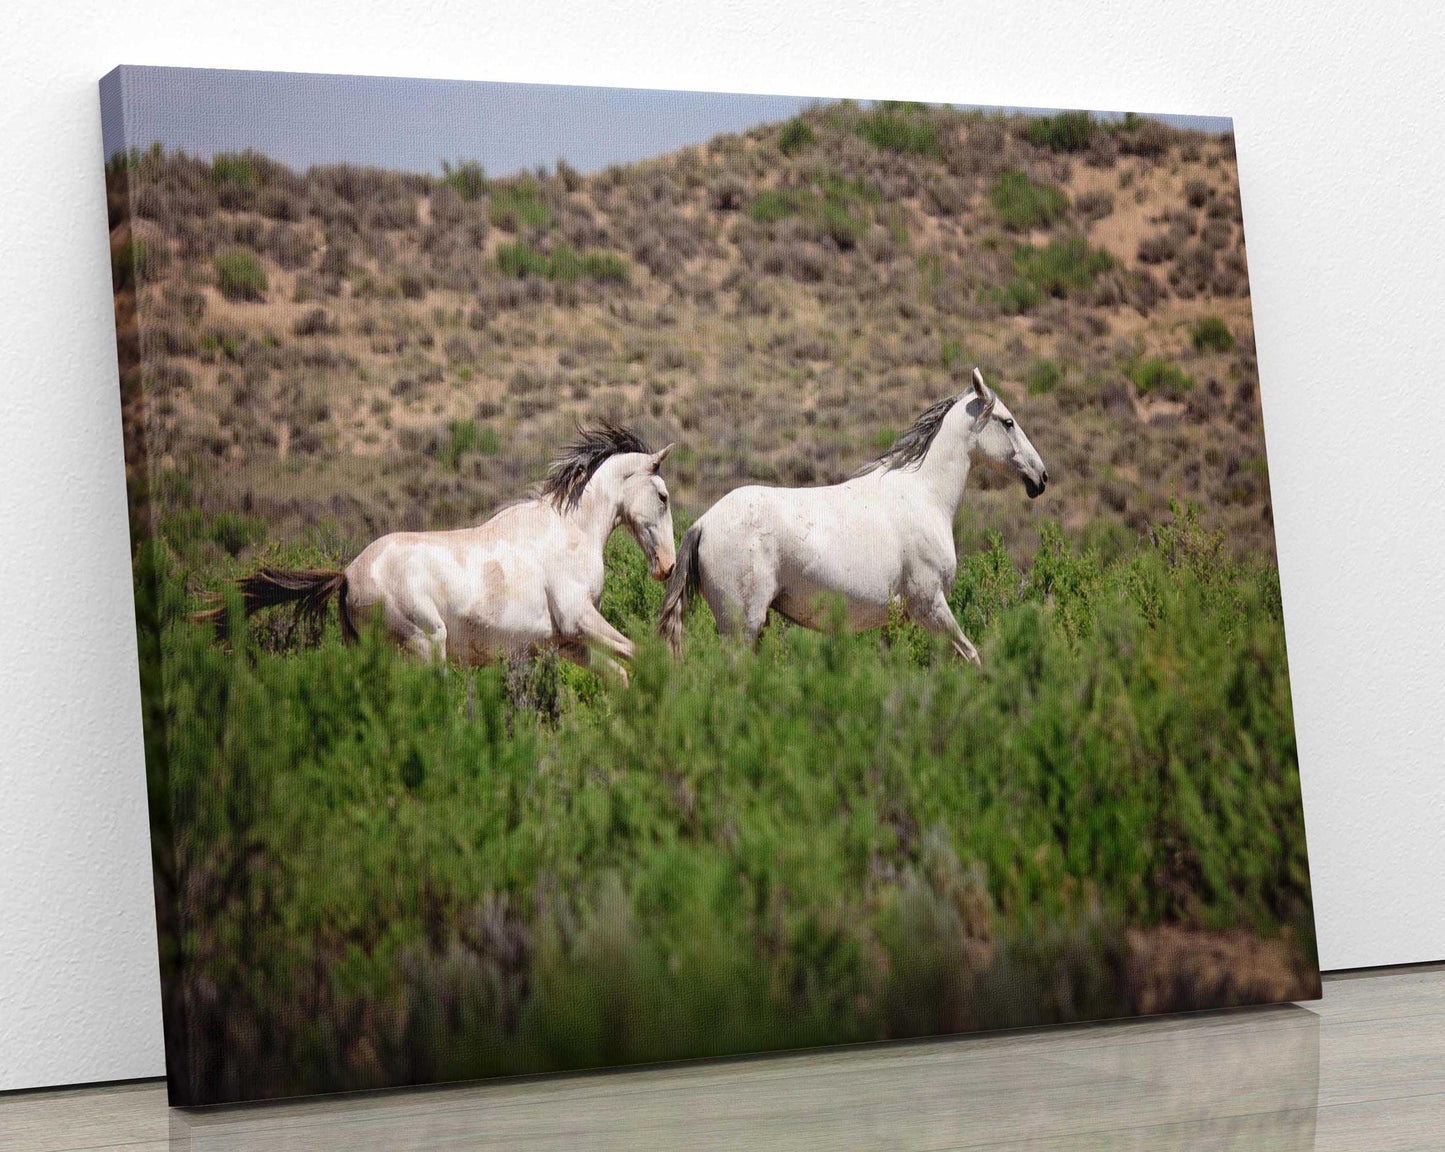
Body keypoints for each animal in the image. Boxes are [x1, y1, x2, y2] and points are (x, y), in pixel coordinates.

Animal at [210, 424, 679, 682]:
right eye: (663, 496)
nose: (668, 566)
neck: (569, 532)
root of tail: (347, 575)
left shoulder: (567, 643)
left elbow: (621, 674)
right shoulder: (580, 621)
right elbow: (644, 656)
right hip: (425, 645)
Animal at [661, 370, 1046, 664]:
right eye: (1008, 422)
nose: (1040, 477)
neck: (924, 494)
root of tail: (703, 523)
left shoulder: (897, 620)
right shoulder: (929, 605)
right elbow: (971, 656)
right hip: (742, 626)